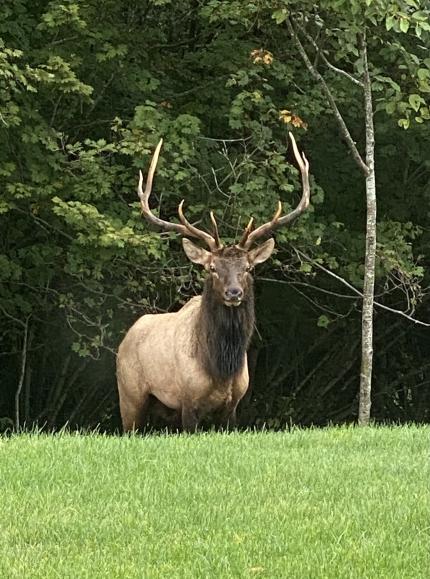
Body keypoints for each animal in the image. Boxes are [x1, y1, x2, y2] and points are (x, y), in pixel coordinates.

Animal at [116, 133, 310, 430]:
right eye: (213, 268)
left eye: (247, 268)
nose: (234, 293)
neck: (222, 368)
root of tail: (124, 341)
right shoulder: (187, 401)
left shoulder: (233, 405)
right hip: (130, 396)